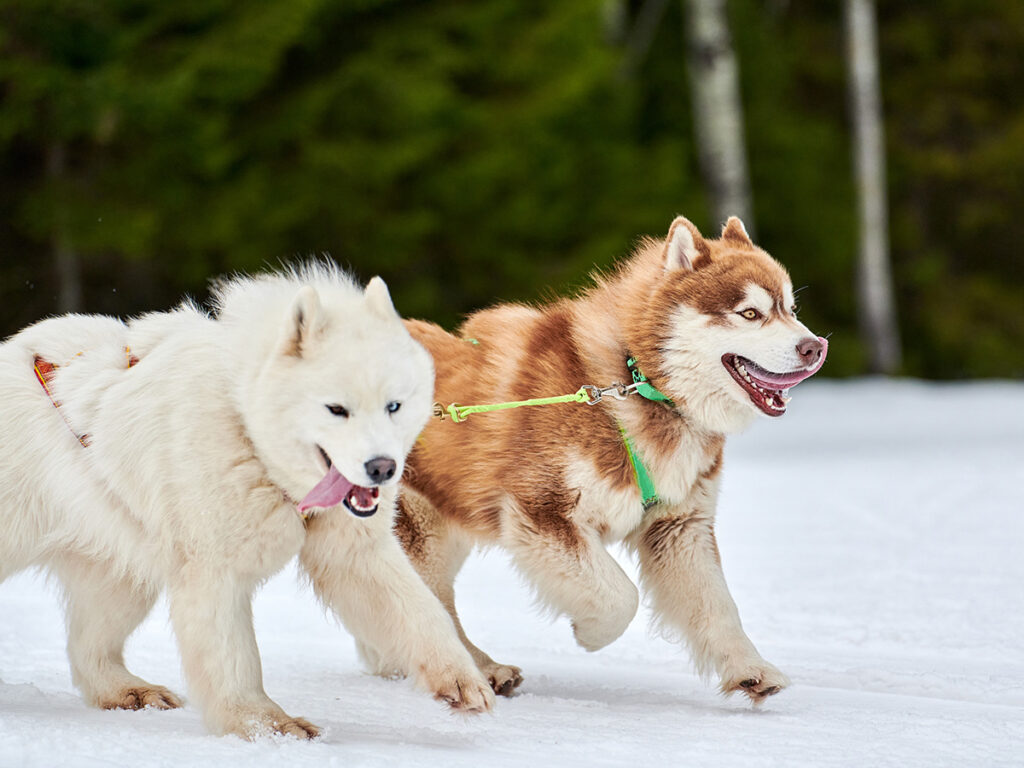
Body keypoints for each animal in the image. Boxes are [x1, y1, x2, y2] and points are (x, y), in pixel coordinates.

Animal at [0, 264, 495, 741]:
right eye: (336, 409)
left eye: (394, 405)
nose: (382, 468)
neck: (245, 425)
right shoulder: (214, 568)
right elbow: (234, 656)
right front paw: (268, 726)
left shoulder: (352, 550)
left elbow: (420, 612)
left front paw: (462, 680)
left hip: (121, 568)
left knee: (91, 646)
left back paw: (130, 691)